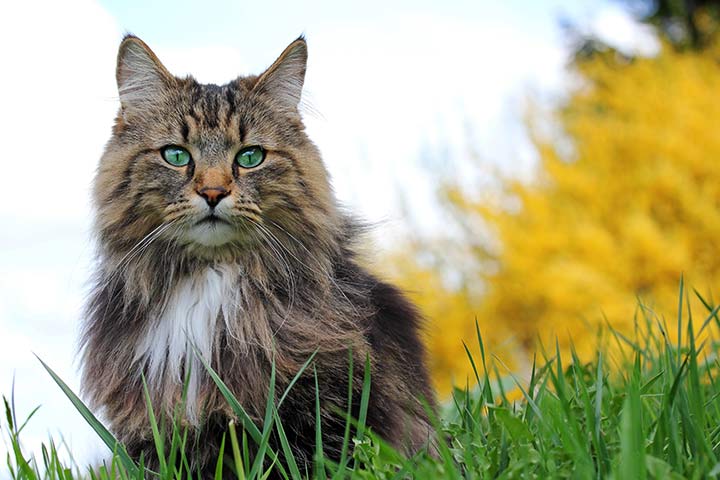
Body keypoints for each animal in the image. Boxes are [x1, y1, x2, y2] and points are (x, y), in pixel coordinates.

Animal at [81, 34, 436, 476]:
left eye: (250, 157)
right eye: (176, 155)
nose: (213, 192)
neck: (209, 283)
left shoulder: (323, 404)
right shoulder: (152, 427)